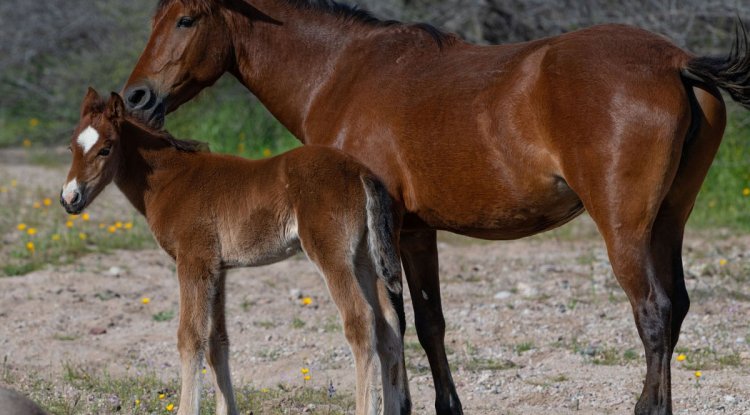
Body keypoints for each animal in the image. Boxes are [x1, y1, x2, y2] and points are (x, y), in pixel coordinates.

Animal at [60, 88, 411, 415]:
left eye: (105, 149)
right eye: (71, 148)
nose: (69, 198)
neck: (171, 179)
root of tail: (360, 171)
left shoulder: (194, 260)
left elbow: (190, 336)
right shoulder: (218, 268)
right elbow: (217, 341)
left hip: (331, 254)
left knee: (361, 321)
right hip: (364, 258)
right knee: (389, 325)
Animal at [120, 1, 750, 413]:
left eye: (186, 18)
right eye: (152, 17)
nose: (136, 97)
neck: (341, 72)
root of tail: (675, 61)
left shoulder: (390, 231)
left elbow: (395, 323)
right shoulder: (415, 233)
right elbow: (427, 325)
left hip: (625, 230)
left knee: (653, 315)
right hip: (668, 223)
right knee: (676, 309)